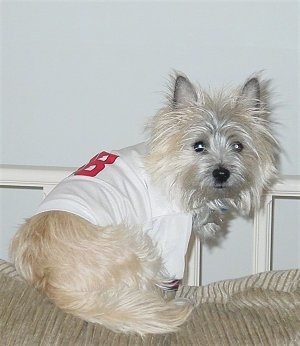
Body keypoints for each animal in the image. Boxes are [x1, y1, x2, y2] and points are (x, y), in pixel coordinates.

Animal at [10, 73, 280, 336]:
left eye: (238, 146)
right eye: (199, 146)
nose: (222, 173)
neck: (175, 171)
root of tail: (52, 284)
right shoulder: (170, 232)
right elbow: (171, 278)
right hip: (138, 248)